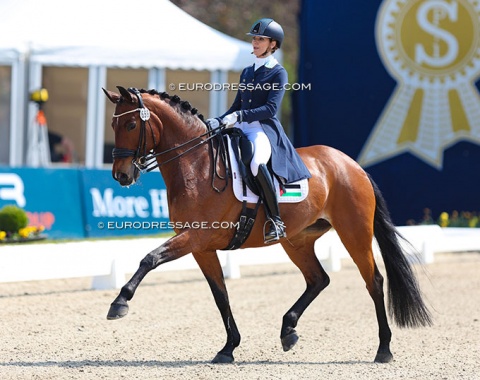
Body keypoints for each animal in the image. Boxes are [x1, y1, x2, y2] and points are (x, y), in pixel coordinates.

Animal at [101, 84, 432, 364]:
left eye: (131, 125)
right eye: (114, 125)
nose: (121, 175)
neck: (196, 165)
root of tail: (352, 165)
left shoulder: (194, 238)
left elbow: (149, 258)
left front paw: (119, 303)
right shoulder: (201, 248)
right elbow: (220, 295)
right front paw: (228, 348)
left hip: (355, 233)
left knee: (373, 281)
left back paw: (384, 349)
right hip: (297, 241)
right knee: (318, 279)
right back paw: (288, 331)